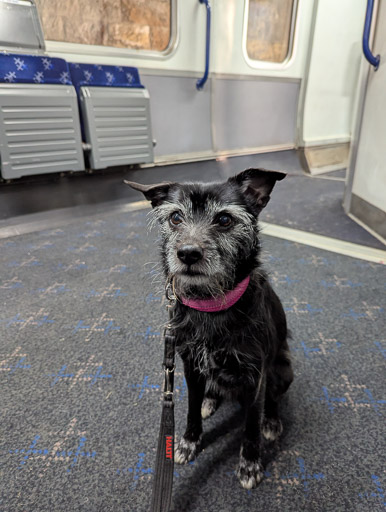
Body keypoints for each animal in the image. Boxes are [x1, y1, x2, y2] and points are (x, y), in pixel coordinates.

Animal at [126, 168, 292, 488]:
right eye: (176, 217)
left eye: (225, 219)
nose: (188, 254)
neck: (211, 305)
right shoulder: (189, 366)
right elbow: (191, 408)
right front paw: (189, 441)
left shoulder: (256, 376)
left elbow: (250, 423)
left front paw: (250, 463)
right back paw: (211, 399)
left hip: (282, 371)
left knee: (272, 400)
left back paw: (271, 420)